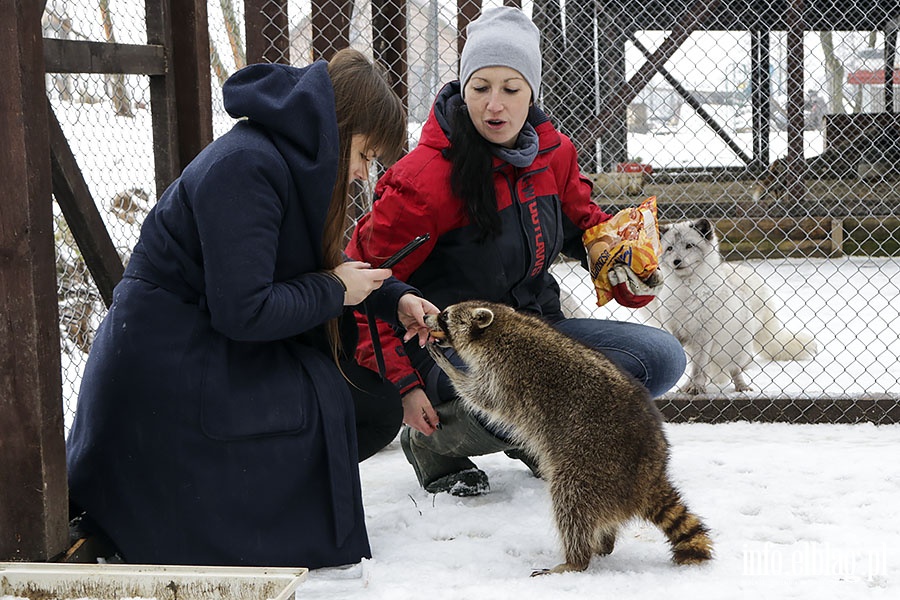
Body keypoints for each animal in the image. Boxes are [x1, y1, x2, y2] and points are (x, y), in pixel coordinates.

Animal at [426, 302, 712, 576]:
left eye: (445, 316)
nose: (426, 318)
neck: (502, 326)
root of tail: (650, 478)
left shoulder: (502, 373)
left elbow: (481, 397)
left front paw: (450, 370)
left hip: (592, 469)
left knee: (571, 503)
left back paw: (576, 559)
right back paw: (604, 543)